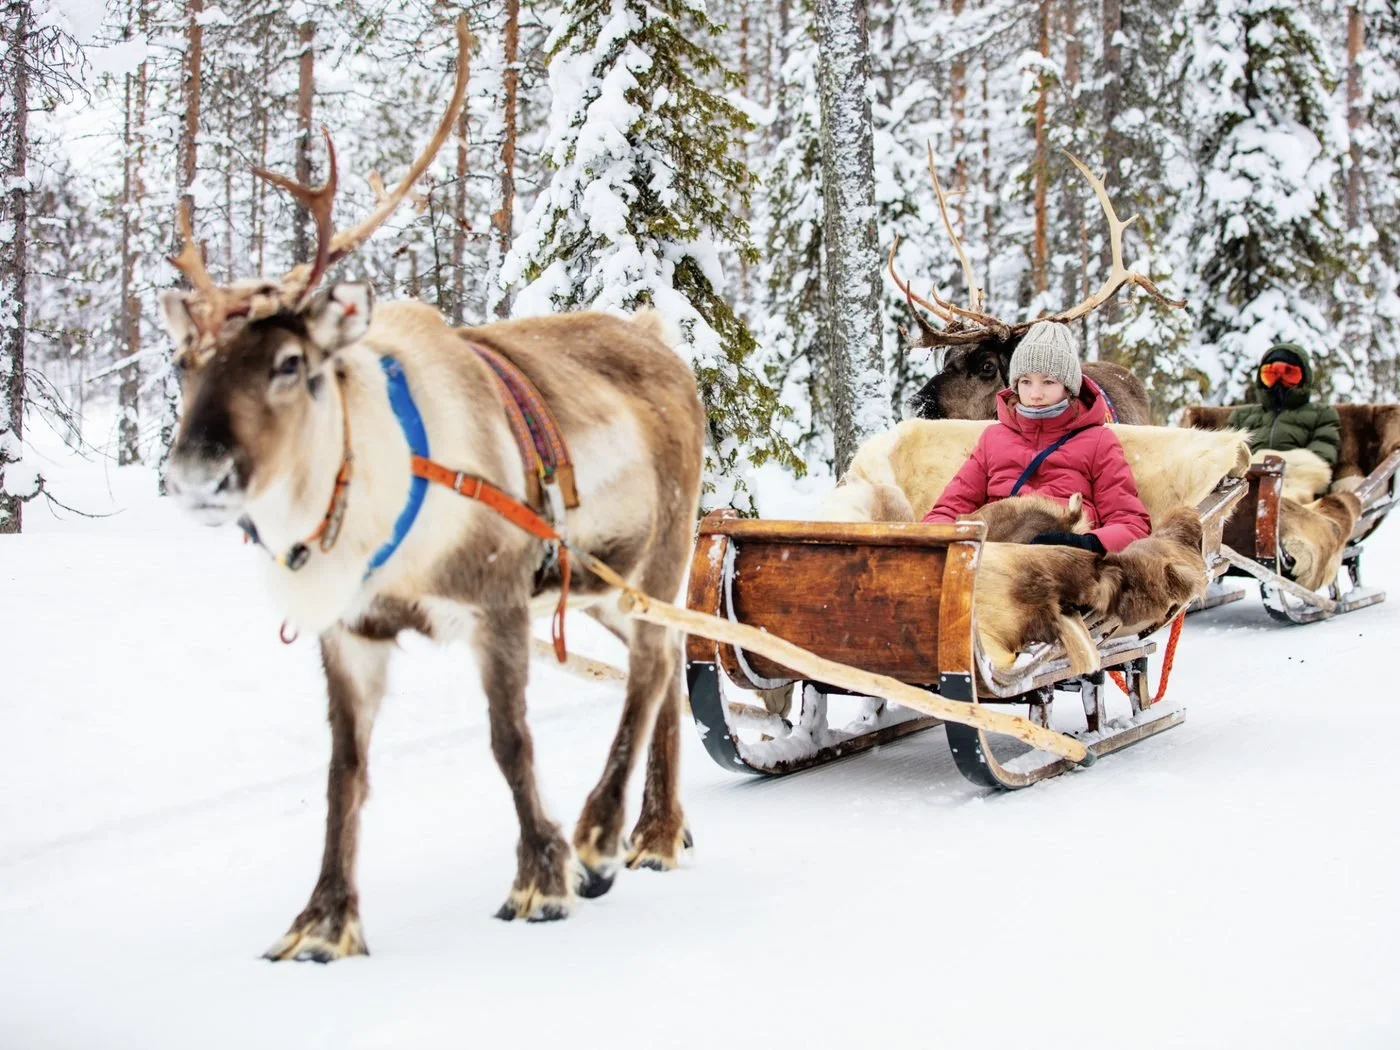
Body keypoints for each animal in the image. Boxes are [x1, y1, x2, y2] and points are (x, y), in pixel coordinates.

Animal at [158, 20, 706, 961]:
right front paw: (322, 922)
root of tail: (661, 338)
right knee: (667, 660)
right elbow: (344, 773)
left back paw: (603, 837)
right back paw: (657, 832)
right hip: (605, 585)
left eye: (290, 362)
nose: (198, 474)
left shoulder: (497, 603)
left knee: (649, 667)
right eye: (185, 363)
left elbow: (509, 741)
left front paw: (543, 878)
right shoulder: (350, 634)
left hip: (661, 550)